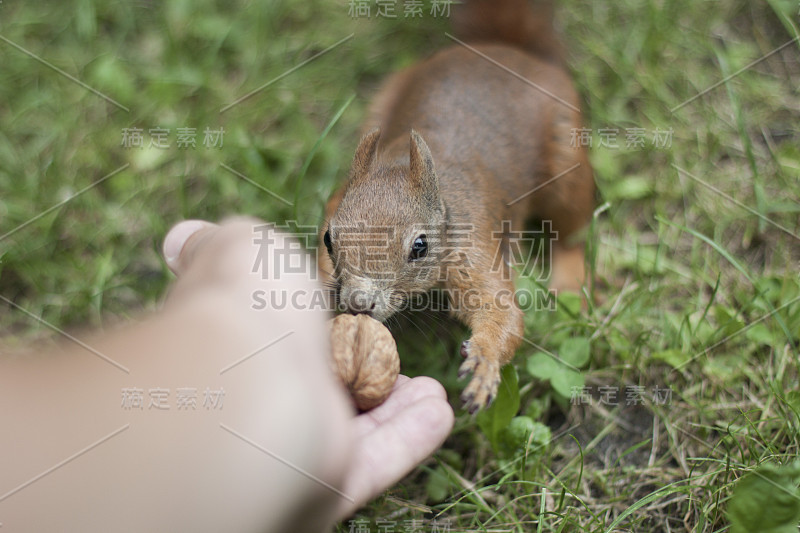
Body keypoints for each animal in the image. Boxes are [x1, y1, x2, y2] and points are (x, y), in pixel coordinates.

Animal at [318, 0, 592, 412]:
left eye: (420, 246)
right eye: (328, 240)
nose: (358, 304)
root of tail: (505, 48)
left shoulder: (472, 246)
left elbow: (502, 310)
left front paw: (484, 362)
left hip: (567, 160)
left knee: (571, 227)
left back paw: (570, 279)